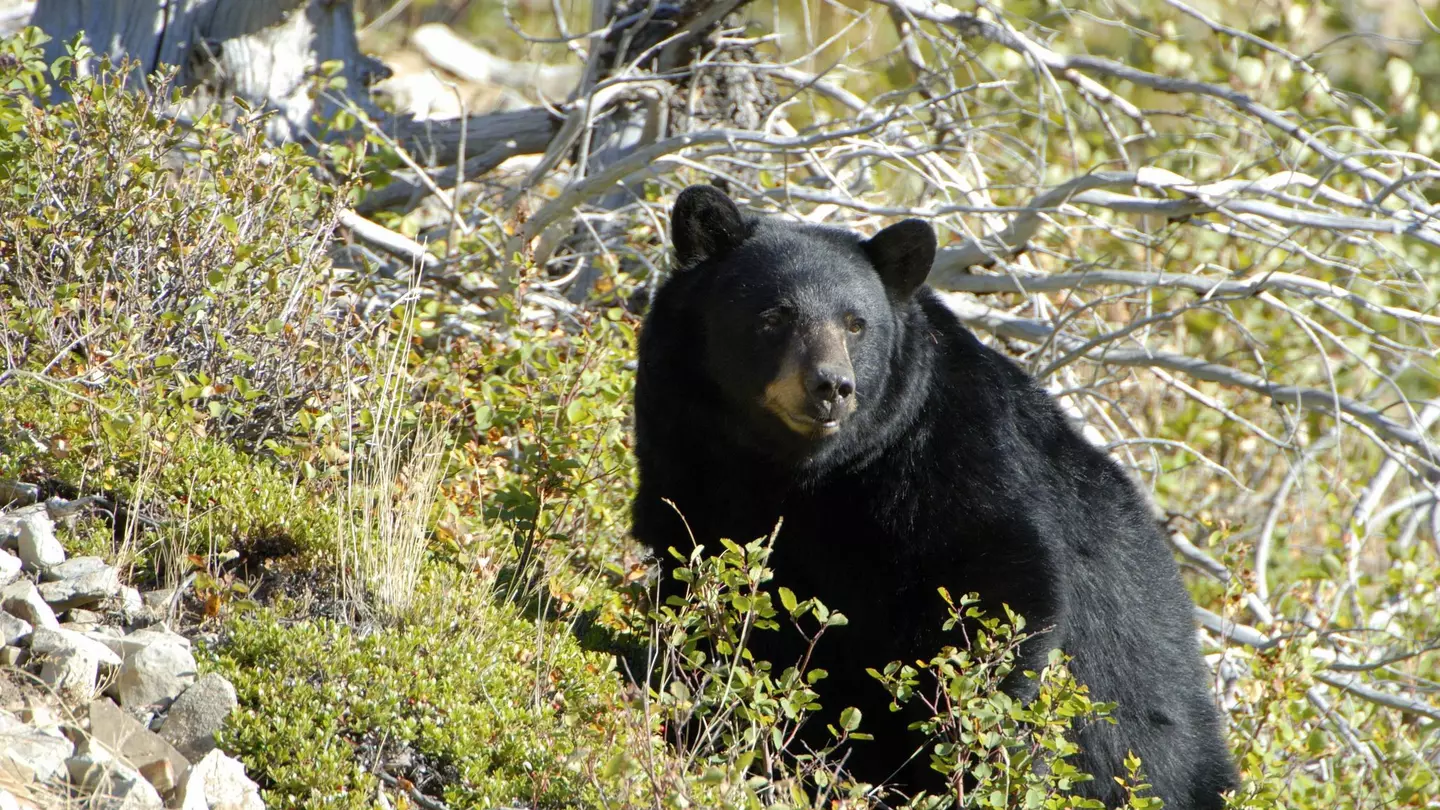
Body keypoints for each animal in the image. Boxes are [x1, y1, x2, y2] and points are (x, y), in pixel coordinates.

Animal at [631, 184, 1238, 808]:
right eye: (774, 315)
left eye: (856, 323)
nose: (832, 386)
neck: (802, 472)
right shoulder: (690, 458)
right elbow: (704, 587)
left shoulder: (953, 460)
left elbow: (998, 599)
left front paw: (957, 763)